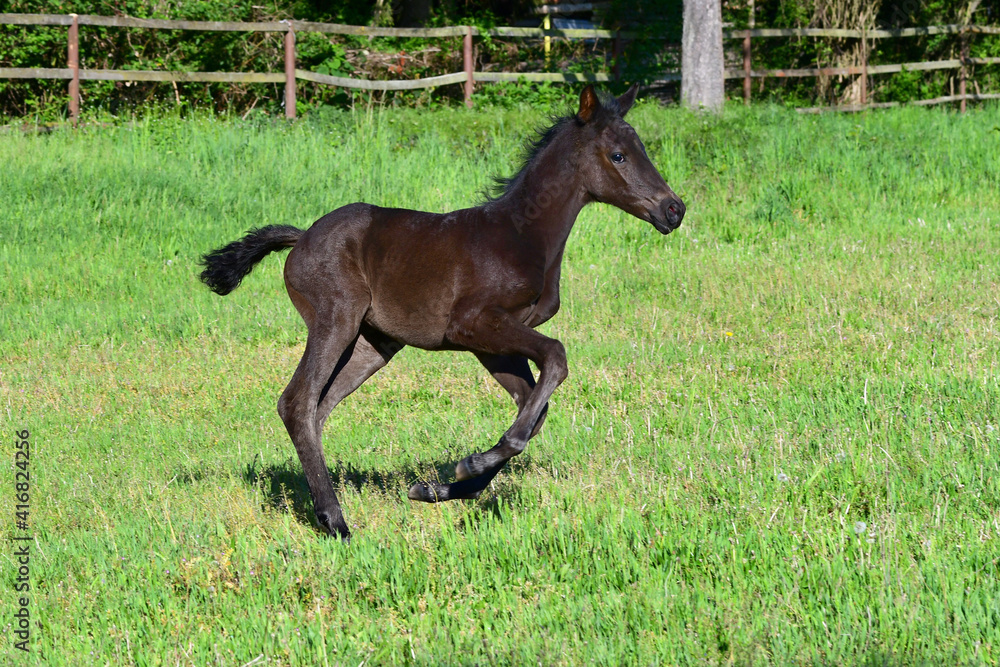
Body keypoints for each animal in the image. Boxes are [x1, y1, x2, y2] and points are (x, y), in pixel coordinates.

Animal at [203, 85, 688, 544]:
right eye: (618, 155)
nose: (674, 209)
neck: (523, 233)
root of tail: (301, 237)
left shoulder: (493, 343)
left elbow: (533, 408)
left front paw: (437, 488)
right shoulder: (473, 324)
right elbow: (555, 359)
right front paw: (468, 464)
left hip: (373, 345)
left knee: (318, 410)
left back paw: (328, 508)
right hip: (335, 319)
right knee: (297, 401)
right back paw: (335, 521)